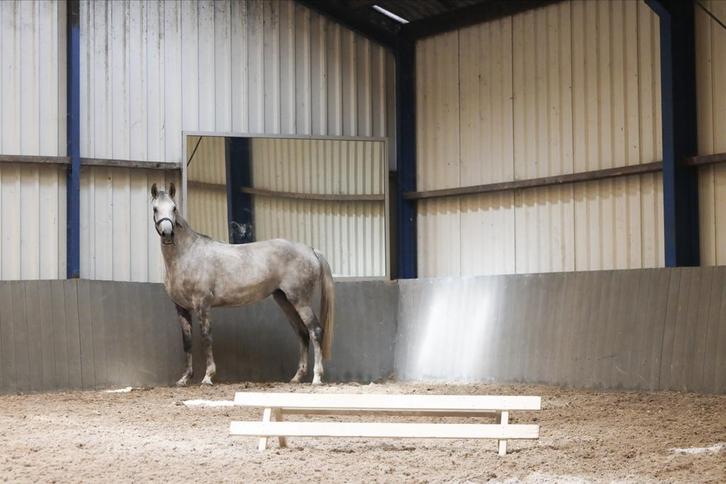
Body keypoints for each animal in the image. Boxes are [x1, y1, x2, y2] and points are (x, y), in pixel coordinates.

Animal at [150, 183, 335, 386]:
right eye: (155, 208)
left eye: (174, 208)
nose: (168, 233)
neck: (187, 255)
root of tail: (310, 250)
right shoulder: (181, 307)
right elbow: (187, 341)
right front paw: (184, 378)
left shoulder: (202, 304)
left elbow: (206, 337)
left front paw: (207, 377)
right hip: (285, 300)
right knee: (302, 333)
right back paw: (296, 377)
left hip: (300, 300)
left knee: (315, 330)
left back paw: (317, 377)